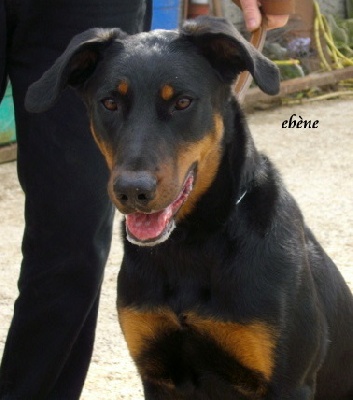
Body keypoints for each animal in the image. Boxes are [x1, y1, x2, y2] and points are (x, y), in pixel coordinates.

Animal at [25, 16, 352, 400]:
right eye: (109, 103)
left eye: (182, 102)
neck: (189, 246)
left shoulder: (288, 382)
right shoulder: (157, 373)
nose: (132, 191)